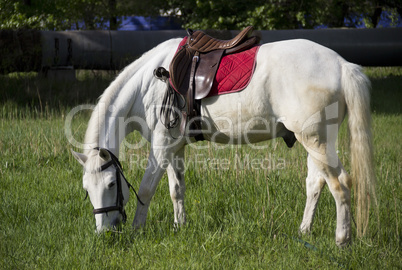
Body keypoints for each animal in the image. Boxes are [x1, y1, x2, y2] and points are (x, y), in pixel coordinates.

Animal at [70, 36, 376, 247]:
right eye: (86, 189)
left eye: (112, 184)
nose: (104, 232)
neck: (149, 83)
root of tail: (342, 65)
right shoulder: (174, 147)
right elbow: (176, 190)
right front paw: (180, 226)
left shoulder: (161, 145)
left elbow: (146, 190)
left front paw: (136, 231)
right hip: (316, 142)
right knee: (315, 184)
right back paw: (304, 231)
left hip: (316, 141)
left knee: (340, 185)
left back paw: (342, 240)